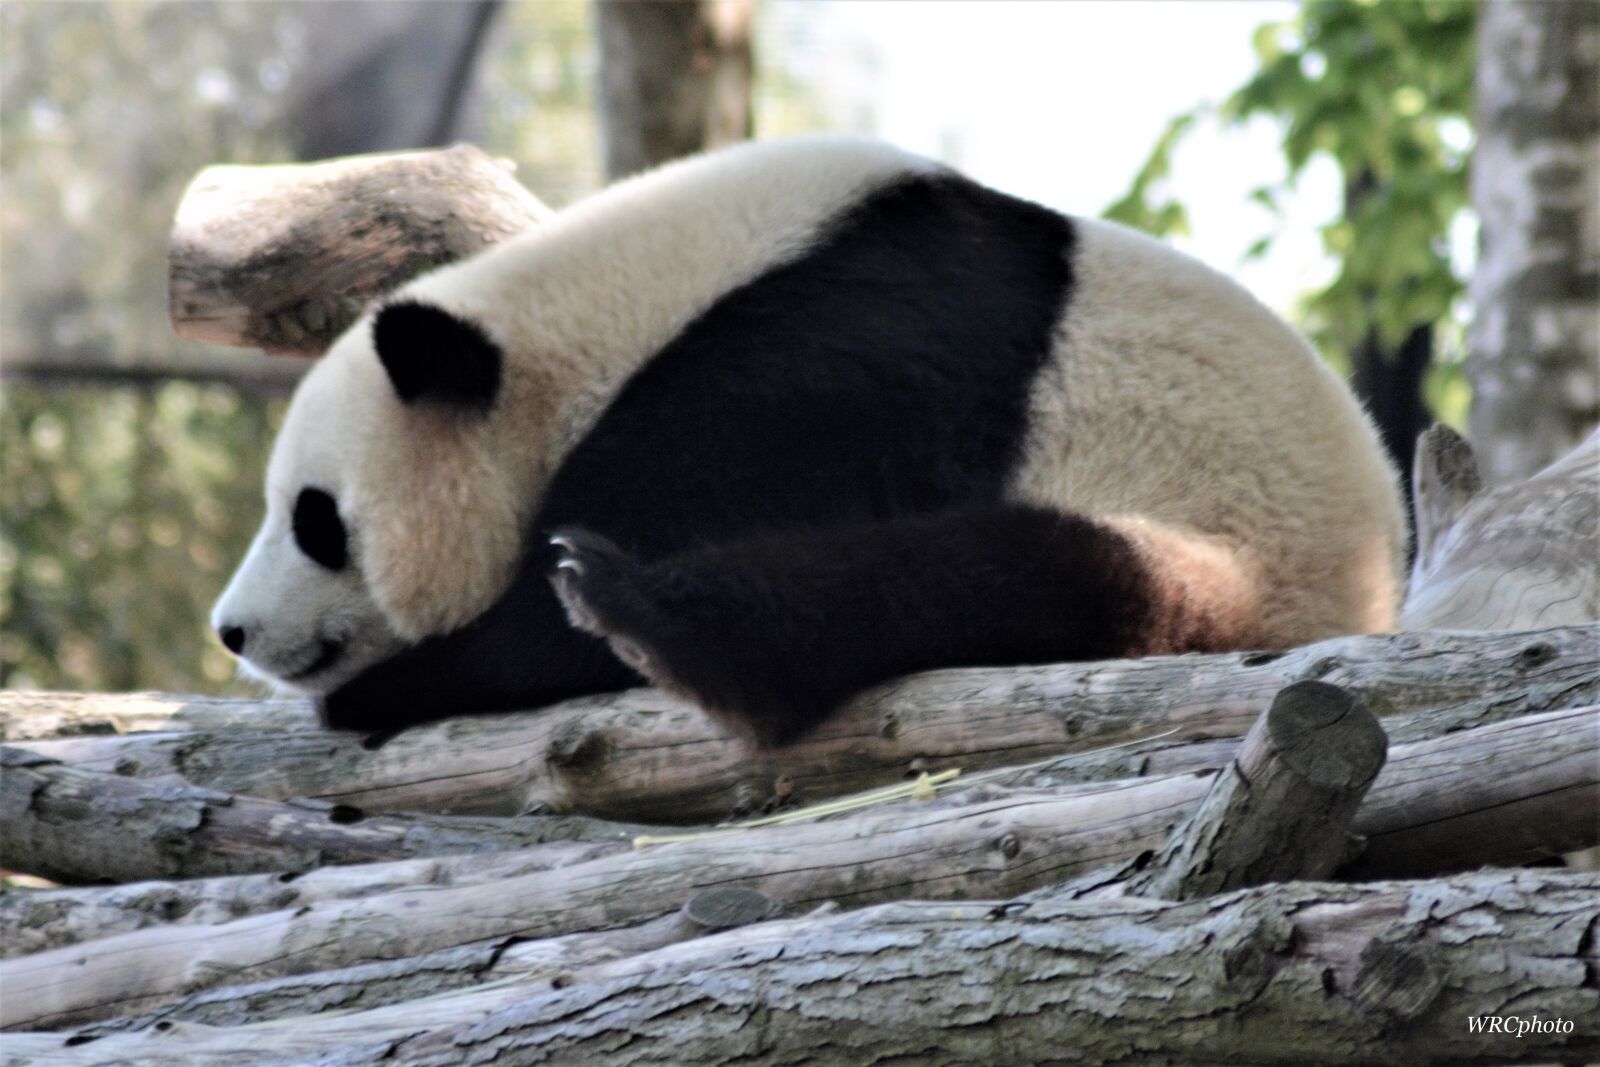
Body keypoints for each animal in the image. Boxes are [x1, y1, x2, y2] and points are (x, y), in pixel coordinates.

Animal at [212, 136, 1405, 747]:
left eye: (314, 519)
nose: (232, 629)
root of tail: (1364, 601)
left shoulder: (822, 360)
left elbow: (557, 617)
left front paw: (401, 681)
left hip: (1215, 553)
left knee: (973, 577)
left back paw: (654, 617)